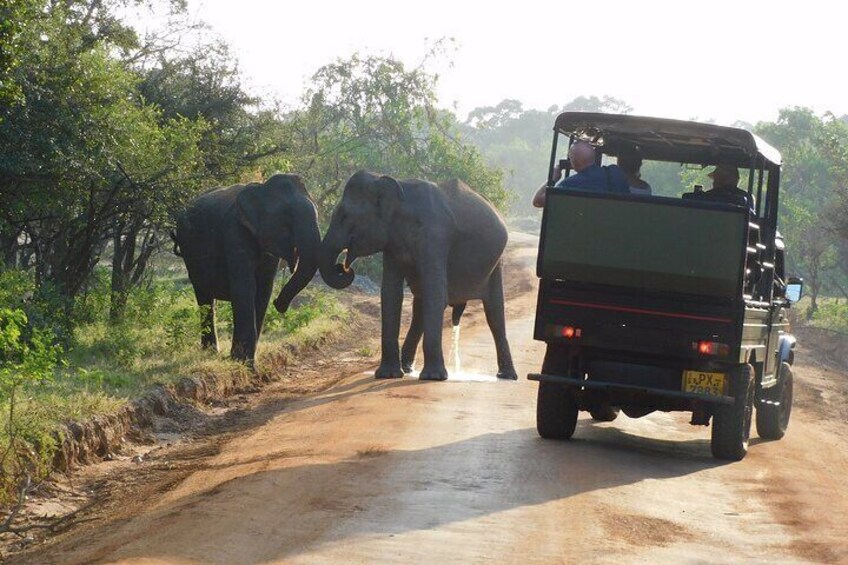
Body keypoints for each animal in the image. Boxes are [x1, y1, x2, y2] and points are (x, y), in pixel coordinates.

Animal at [174, 173, 320, 366]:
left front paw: (244, 361)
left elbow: (264, 290)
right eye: (287, 219)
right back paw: (211, 351)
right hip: (189, 251)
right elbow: (245, 288)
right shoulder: (234, 232)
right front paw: (244, 364)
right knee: (203, 295)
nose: (279, 305)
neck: (261, 189)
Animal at [318, 170, 516, 382]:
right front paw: (388, 375)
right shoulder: (392, 242)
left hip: (496, 265)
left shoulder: (435, 236)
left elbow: (435, 295)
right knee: (419, 309)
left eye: (344, 216)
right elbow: (391, 294)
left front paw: (433, 377)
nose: (343, 267)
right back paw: (407, 368)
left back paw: (507, 376)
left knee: (494, 313)